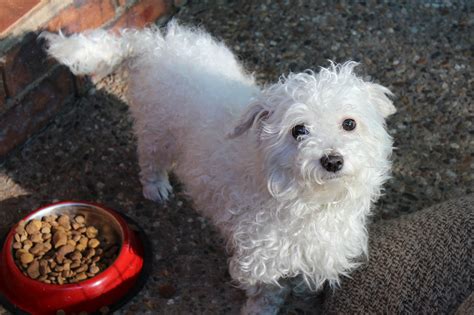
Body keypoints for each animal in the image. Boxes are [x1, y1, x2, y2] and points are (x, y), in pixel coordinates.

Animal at [40, 21, 396, 314]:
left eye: (349, 123)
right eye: (299, 130)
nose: (332, 160)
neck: (311, 201)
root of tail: (153, 42)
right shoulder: (261, 256)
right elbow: (266, 292)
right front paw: (260, 310)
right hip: (157, 132)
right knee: (149, 161)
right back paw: (155, 187)